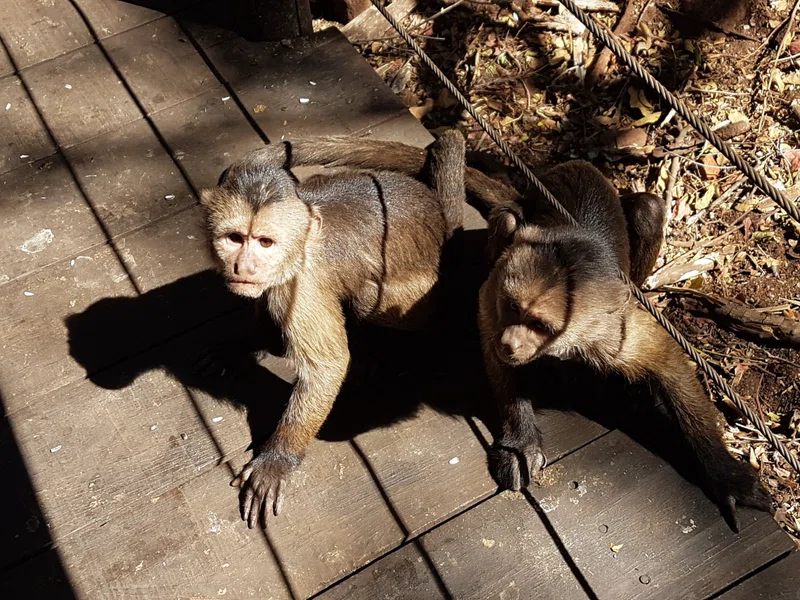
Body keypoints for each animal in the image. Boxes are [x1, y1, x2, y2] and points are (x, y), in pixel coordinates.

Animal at [199, 130, 466, 528]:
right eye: (235, 238)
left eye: (264, 242)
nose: (243, 266)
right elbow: (264, 303)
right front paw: (243, 344)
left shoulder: (302, 284)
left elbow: (327, 366)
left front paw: (277, 459)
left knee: (371, 297)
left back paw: (389, 351)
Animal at [289, 135, 771, 531]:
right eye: (513, 309)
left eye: (540, 325)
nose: (513, 342)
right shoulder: (495, 295)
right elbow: (489, 338)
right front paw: (520, 438)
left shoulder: (610, 328)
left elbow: (667, 363)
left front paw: (726, 474)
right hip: (515, 226)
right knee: (506, 218)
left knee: (649, 209)